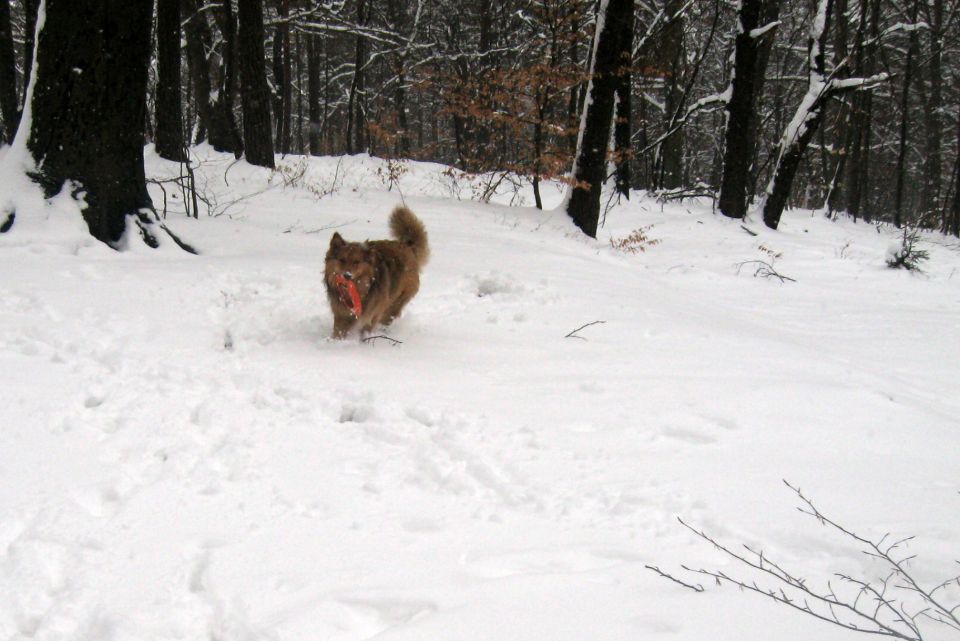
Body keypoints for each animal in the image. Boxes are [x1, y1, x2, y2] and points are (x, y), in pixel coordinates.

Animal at [324, 206, 430, 340]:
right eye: (342, 260)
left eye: (356, 262)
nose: (347, 276)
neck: (359, 289)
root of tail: (406, 246)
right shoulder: (341, 314)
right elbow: (338, 332)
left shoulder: (373, 314)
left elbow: (366, 330)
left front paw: (364, 341)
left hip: (395, 303)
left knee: (388, 317)